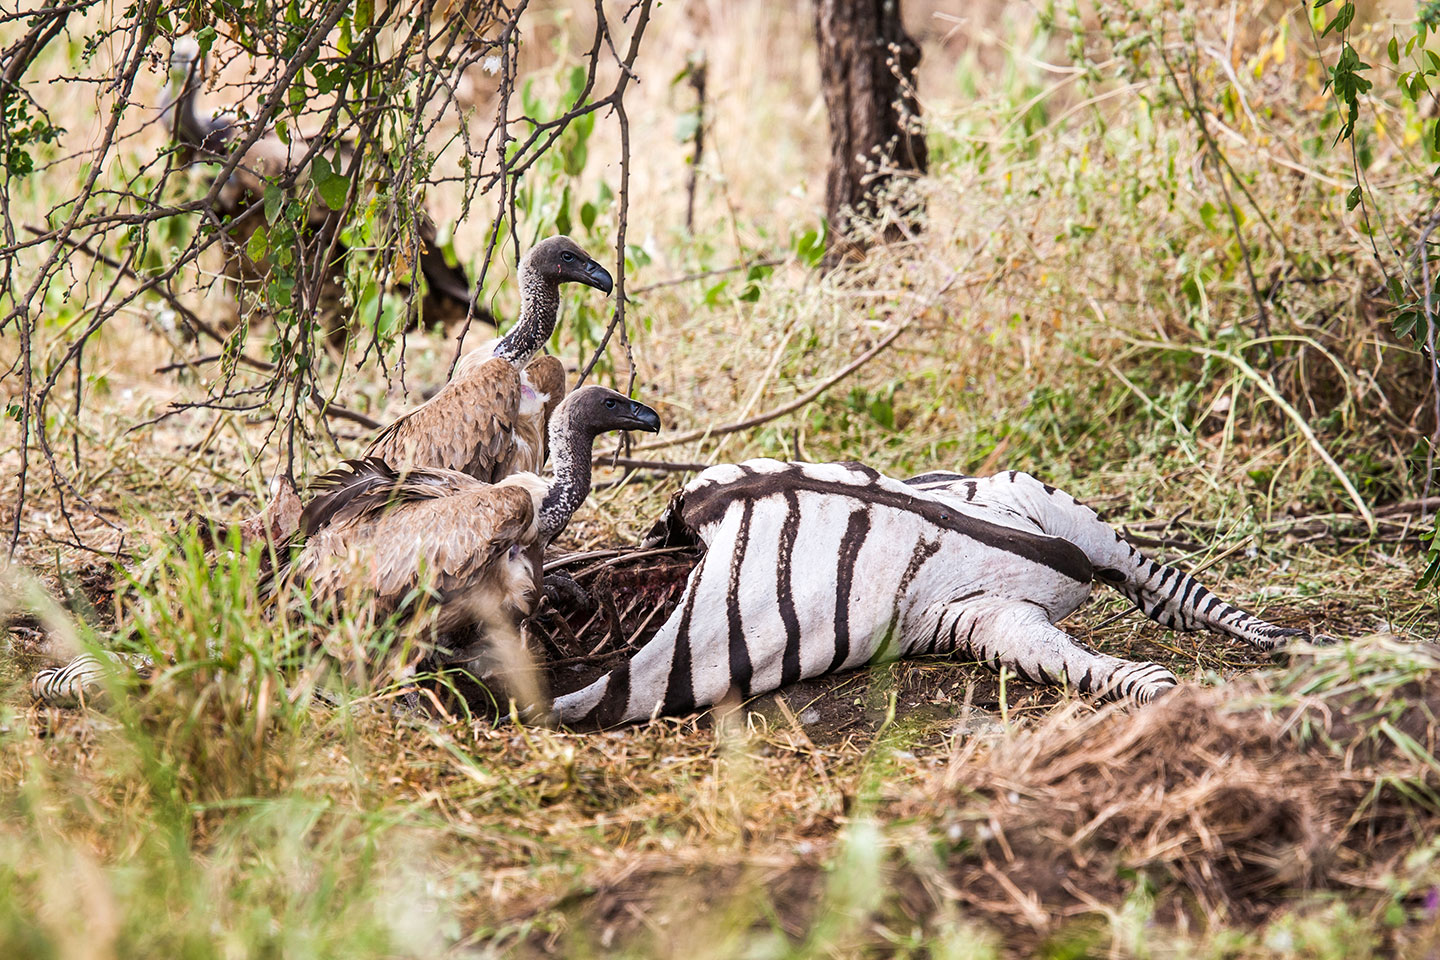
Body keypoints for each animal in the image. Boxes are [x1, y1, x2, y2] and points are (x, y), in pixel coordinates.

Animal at [551, 459, 1317, 727]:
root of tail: (1065, 562)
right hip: (1000, 606)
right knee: (1145, 615)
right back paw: (1283, 650)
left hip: (1036, 545)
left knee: (1160, 601)